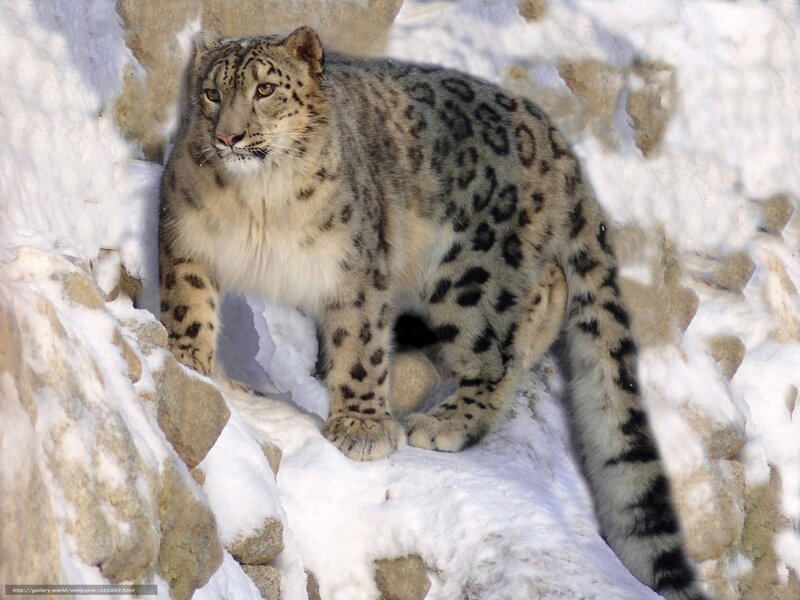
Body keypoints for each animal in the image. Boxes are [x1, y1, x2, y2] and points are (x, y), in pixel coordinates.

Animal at [157, 26, 712, 600]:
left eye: (265, 89)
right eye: (212, 93)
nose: (229, 137)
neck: (259, 204)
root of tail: (555, 139)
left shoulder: (357, 268)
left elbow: (360, 346)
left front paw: (361, 427)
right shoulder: (187, 238)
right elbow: (189, 304)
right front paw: (188, 361)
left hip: (472, 274)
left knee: (499, 345)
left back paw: (446, 421)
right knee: (548, 293)